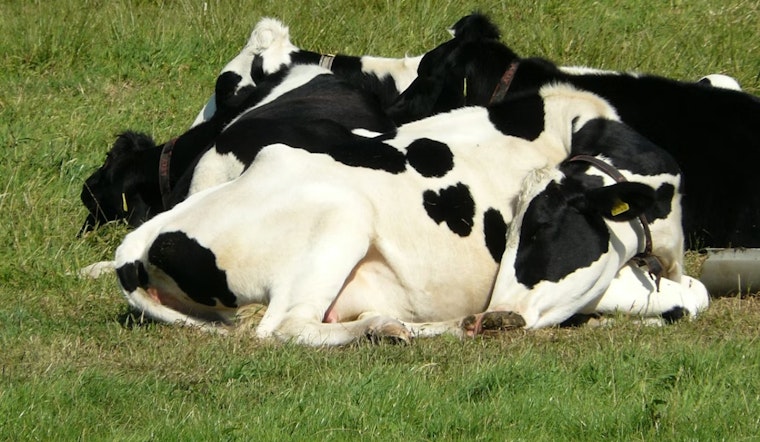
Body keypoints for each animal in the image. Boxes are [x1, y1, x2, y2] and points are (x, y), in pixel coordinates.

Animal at [112, 84, 708, 346]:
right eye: (518, 229)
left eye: (539, 229)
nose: (497, 314)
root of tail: (138, 245)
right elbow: (692, 297)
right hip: (344, 217)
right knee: (284, 328)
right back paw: (389, 329)